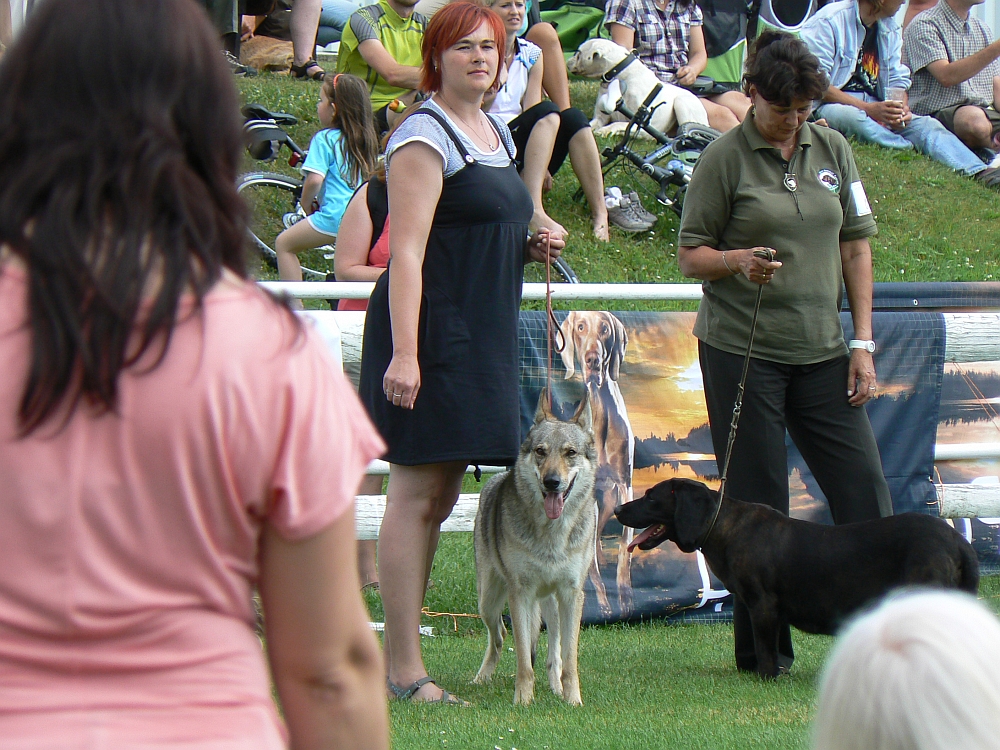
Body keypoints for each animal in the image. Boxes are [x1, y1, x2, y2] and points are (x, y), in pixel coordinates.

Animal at [612, 482, 980, 680]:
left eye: (651, 497)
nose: (616, 510)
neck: (721, 526)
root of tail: (957, 541)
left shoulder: (762, 605)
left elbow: (765, 649)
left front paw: (766, 678)